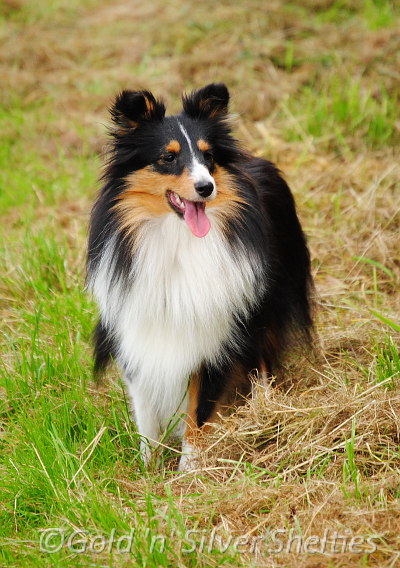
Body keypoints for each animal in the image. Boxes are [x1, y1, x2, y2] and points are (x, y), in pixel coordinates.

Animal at [86, 81, 312, 470]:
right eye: (168, 157)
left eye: (208, 157)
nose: (207, 187)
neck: (177, 240)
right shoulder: (137, 328)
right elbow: (145, 411)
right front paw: (148, 468)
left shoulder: (214, 333)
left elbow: (198, 409)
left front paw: (188, 472)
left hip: (260, 304)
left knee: (260, 356)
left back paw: (264, 406)